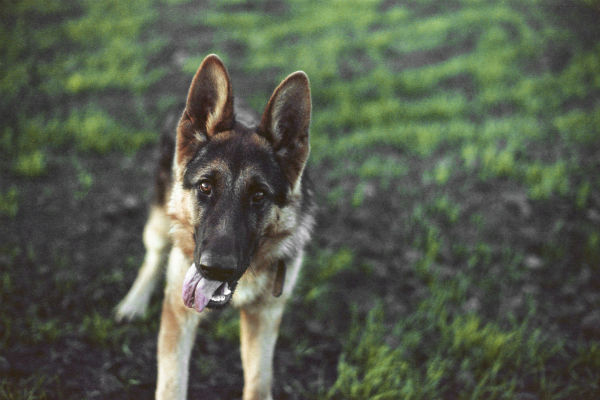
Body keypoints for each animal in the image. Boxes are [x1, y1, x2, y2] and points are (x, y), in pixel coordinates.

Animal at [114, 54, 316, 400]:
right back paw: (133, 302)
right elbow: (171, 385)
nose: (215, 269)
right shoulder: (178, 314)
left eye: (258, 196)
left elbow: (259, 382)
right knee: (152, 257)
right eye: (205, 187)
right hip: (159, 223)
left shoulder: (264, 317)